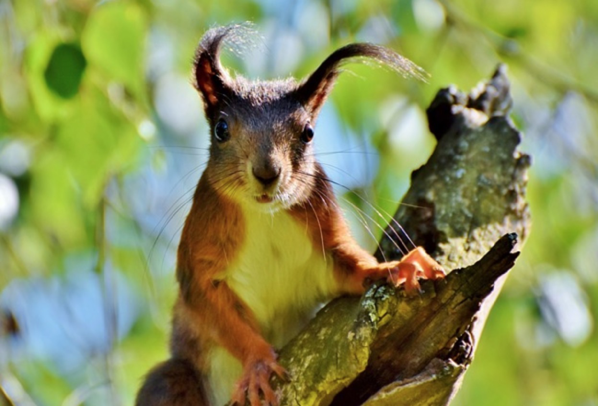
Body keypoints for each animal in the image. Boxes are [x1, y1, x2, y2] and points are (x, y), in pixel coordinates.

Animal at [136, 25, 446, 406]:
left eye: (308, 132)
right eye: (221, 129)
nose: (267, 173)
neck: (265, 214)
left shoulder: (324, 239)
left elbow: (351, 268)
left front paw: (398, 266)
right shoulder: (201, 259)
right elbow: (216, 311)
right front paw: (257, 363)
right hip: (172, 381)